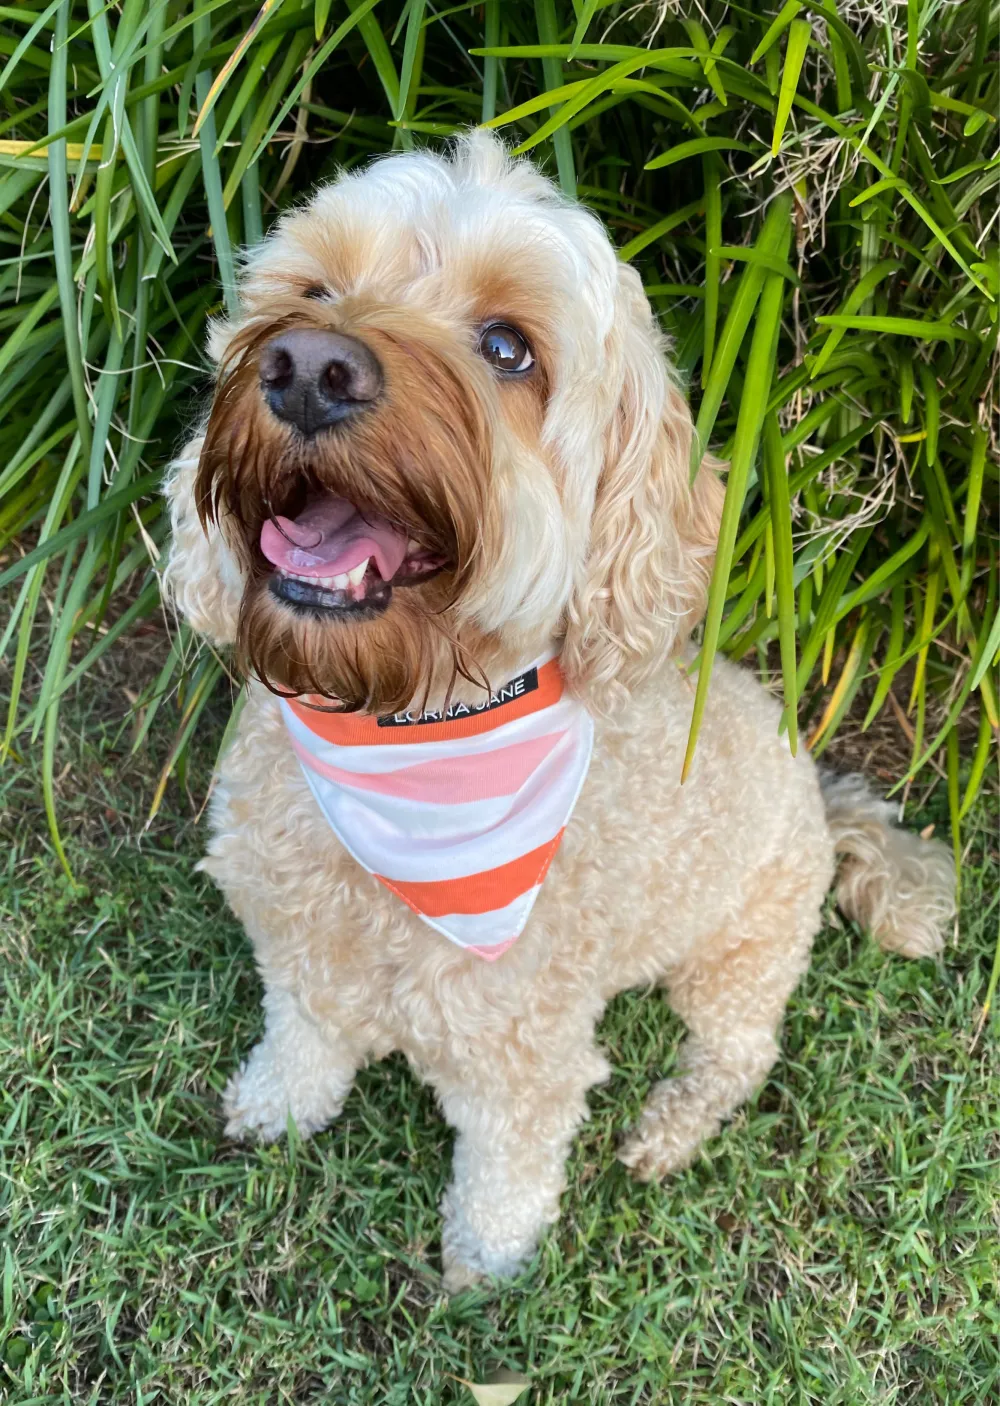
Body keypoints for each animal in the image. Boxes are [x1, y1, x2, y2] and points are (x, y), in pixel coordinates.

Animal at [162, 129, 956, 1287]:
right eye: (314, 290)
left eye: (507, 348)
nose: (305, 365)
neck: (406, 733)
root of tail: (819, 788)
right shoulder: (298, 950)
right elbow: (306, 1033)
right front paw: (277, 1103)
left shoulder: (522, 1052)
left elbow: (510, 1153)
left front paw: (486, 1255)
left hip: (740, 954)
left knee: (740, 1051)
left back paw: (669, 1127)